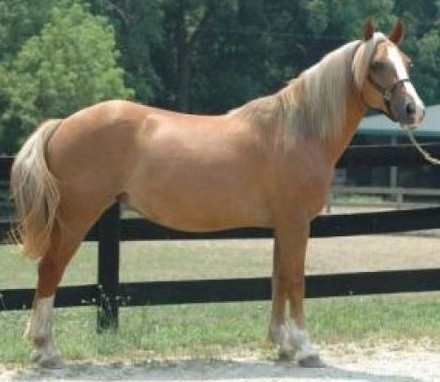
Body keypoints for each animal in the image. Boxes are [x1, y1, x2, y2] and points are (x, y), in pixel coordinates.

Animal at [9, 19, 422, 368]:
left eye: (406, 62)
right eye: (377, 65)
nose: (413, 109)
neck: (297, 130)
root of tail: (62, 123)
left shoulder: (282, 226)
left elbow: (278, 278)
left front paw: (282, 344)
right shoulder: (296, 223)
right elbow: (295, 280)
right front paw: (306, 349)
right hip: (76, 218)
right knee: (50, 270)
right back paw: (46, 351)